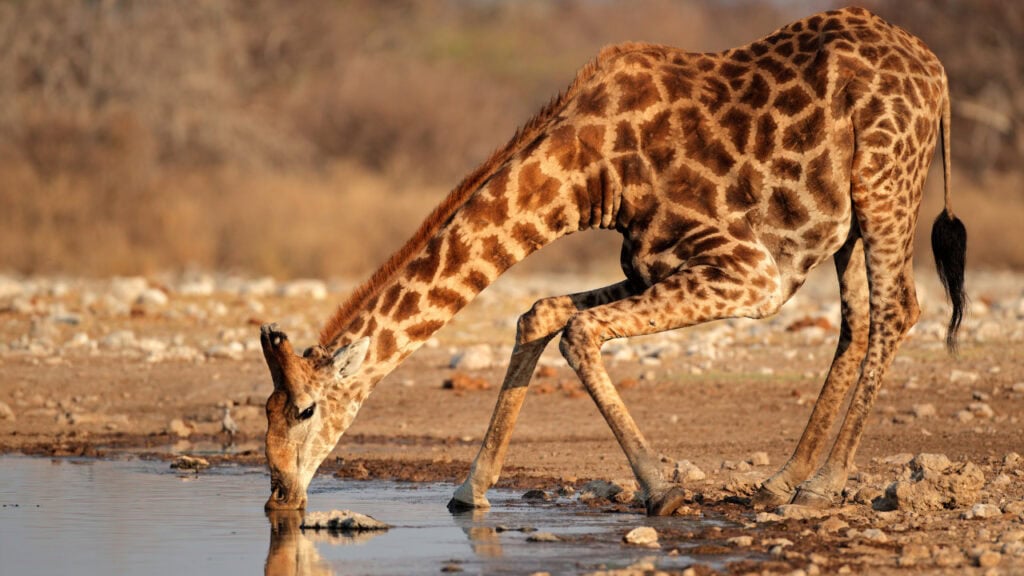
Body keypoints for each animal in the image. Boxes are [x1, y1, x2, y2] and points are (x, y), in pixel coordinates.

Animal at [260, 6, 967, 516]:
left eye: (304, 410)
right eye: (264, 411)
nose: (279, 496)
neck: (588, 175)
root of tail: (937, 72)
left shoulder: (749, 275)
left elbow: (577, 332)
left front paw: (663, 489)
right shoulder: (647, 266)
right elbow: (541, 313)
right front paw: (470, 491)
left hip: (885, 184)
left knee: (897, 309)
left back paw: (822, 487)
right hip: (847, 222)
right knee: (857, 323)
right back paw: (783, 480)